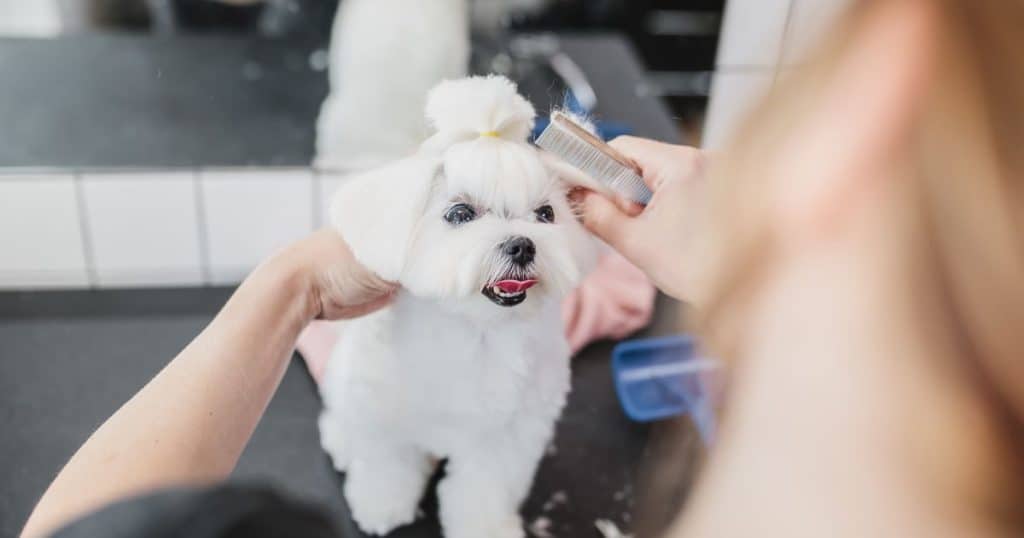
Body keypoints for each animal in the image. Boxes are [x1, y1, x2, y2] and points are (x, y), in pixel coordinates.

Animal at [315, 76, 598, 536]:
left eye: (546, 213)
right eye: (461, 213)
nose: (522, 245)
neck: (472, 333)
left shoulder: (508, 436)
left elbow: (483, 487)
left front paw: (486, 526)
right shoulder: (384, 413)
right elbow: (386, 462)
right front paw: (381, 504)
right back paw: (341, 438)